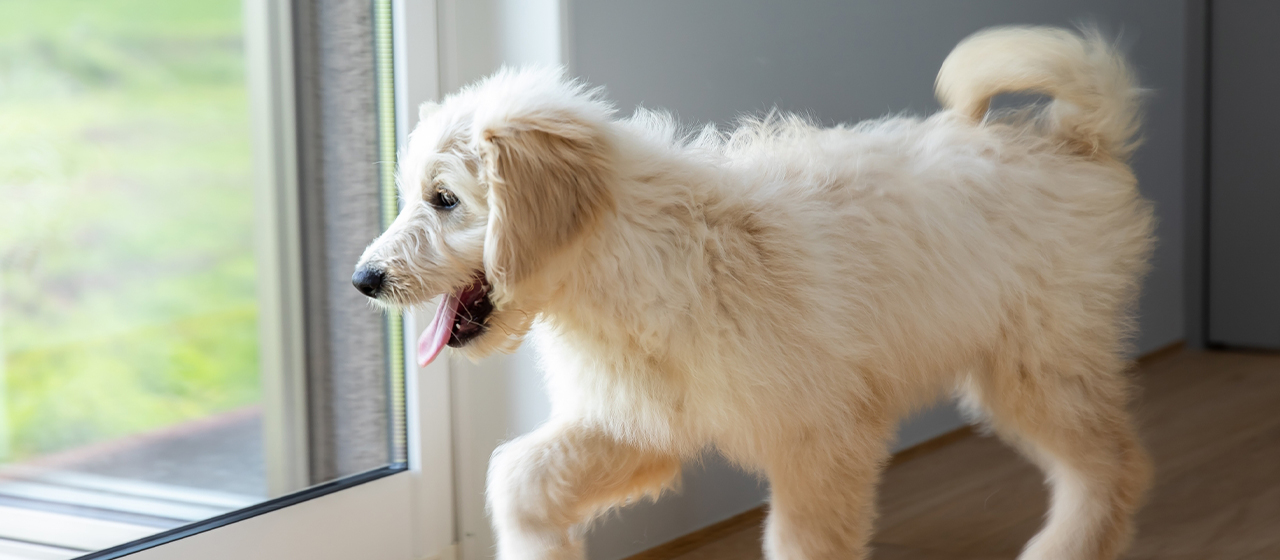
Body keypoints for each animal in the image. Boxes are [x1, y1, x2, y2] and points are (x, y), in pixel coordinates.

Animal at [353, 24, 1162, 557]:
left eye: (444, 200)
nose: (363, 280)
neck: (632, 258)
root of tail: (1072, 139)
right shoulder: (639, 422)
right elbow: (521, 478)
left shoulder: (822, 436)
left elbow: (805, 542)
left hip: (1039, 368)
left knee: (1115, 466)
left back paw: (1064, 548)